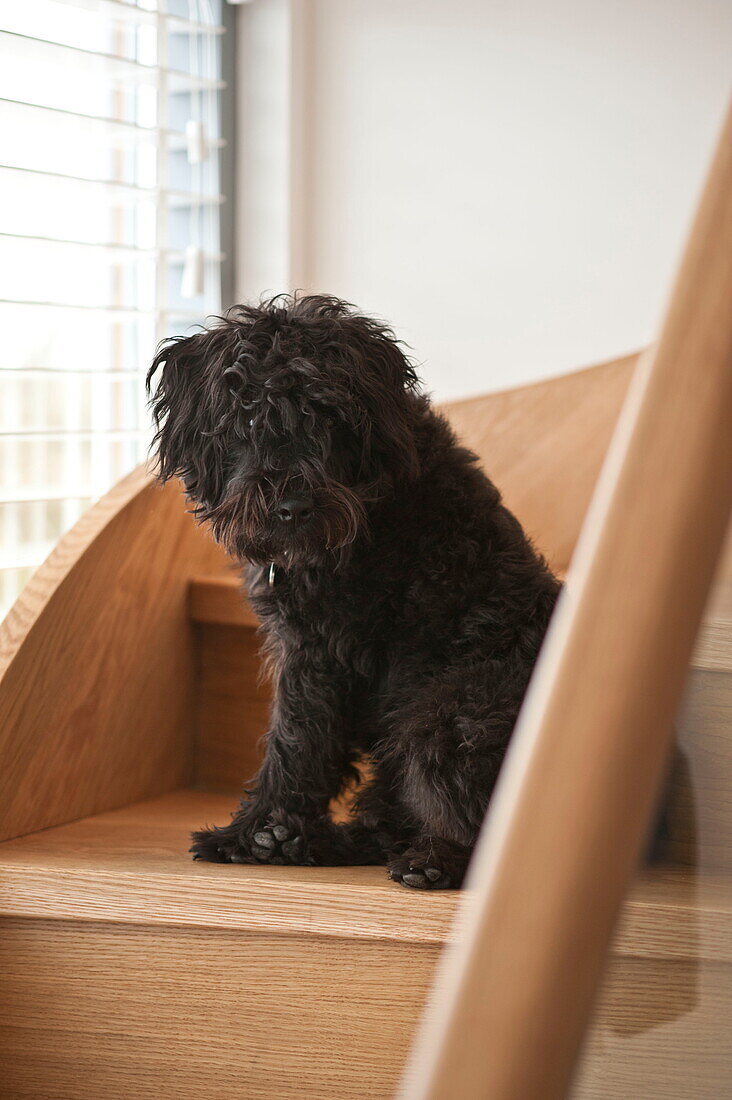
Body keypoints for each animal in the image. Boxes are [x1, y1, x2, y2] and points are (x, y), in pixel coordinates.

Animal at [148, 297, 559, 888]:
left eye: (328, 415)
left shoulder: (319, 650)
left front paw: (254, 834)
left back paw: (431, 862)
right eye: (247, 415)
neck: (373, 504)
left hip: (446, 716)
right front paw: (276, 835)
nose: (292, 508)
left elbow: (294, 741)